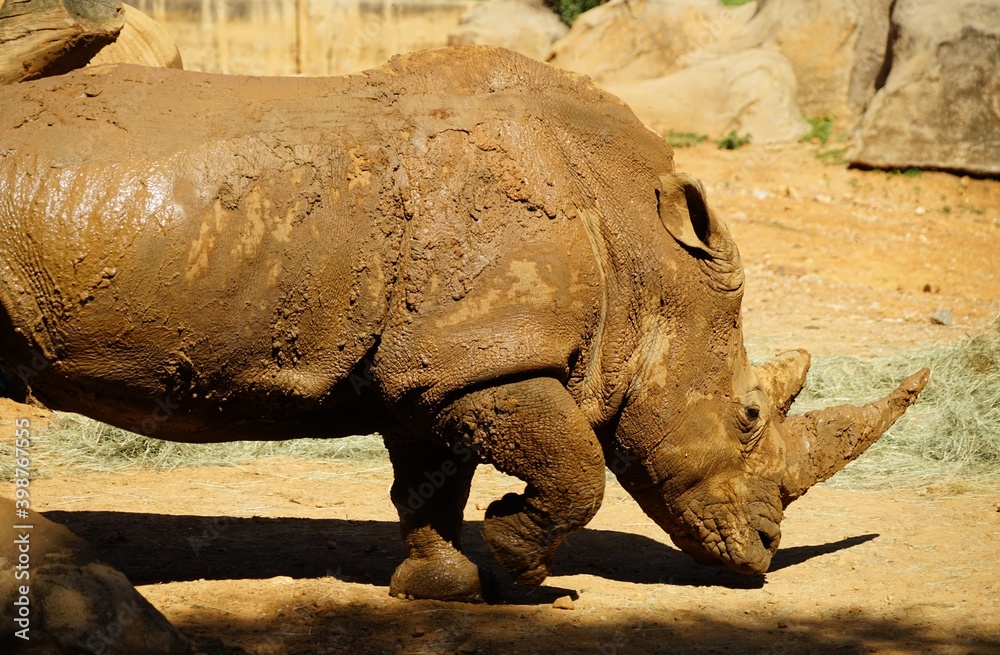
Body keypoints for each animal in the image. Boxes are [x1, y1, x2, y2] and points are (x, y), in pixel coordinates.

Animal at [0, 46, 927, 602]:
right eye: (747, 413)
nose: (764, 553)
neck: (640, 250)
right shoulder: (489, 357)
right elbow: (576, 467)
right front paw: (520, 559)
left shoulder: (436, 365)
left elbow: (430, 478)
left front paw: (442, 586)